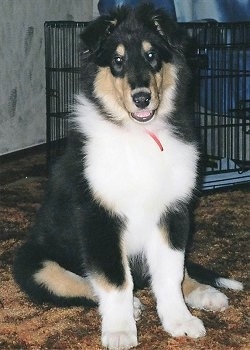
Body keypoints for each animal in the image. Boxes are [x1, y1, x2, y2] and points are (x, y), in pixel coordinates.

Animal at [13, 3, 242, 350]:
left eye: (152, 56)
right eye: (117, 61)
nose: (142, 98)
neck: (139, 135)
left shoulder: (172, 212)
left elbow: (170, 274)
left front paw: (180, 321)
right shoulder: (99, 219)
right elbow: (114, 280)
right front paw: (120, 331)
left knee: (174, 272)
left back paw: (205, 292)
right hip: (32, 263)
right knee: (79, 282)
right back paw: (134, 305)